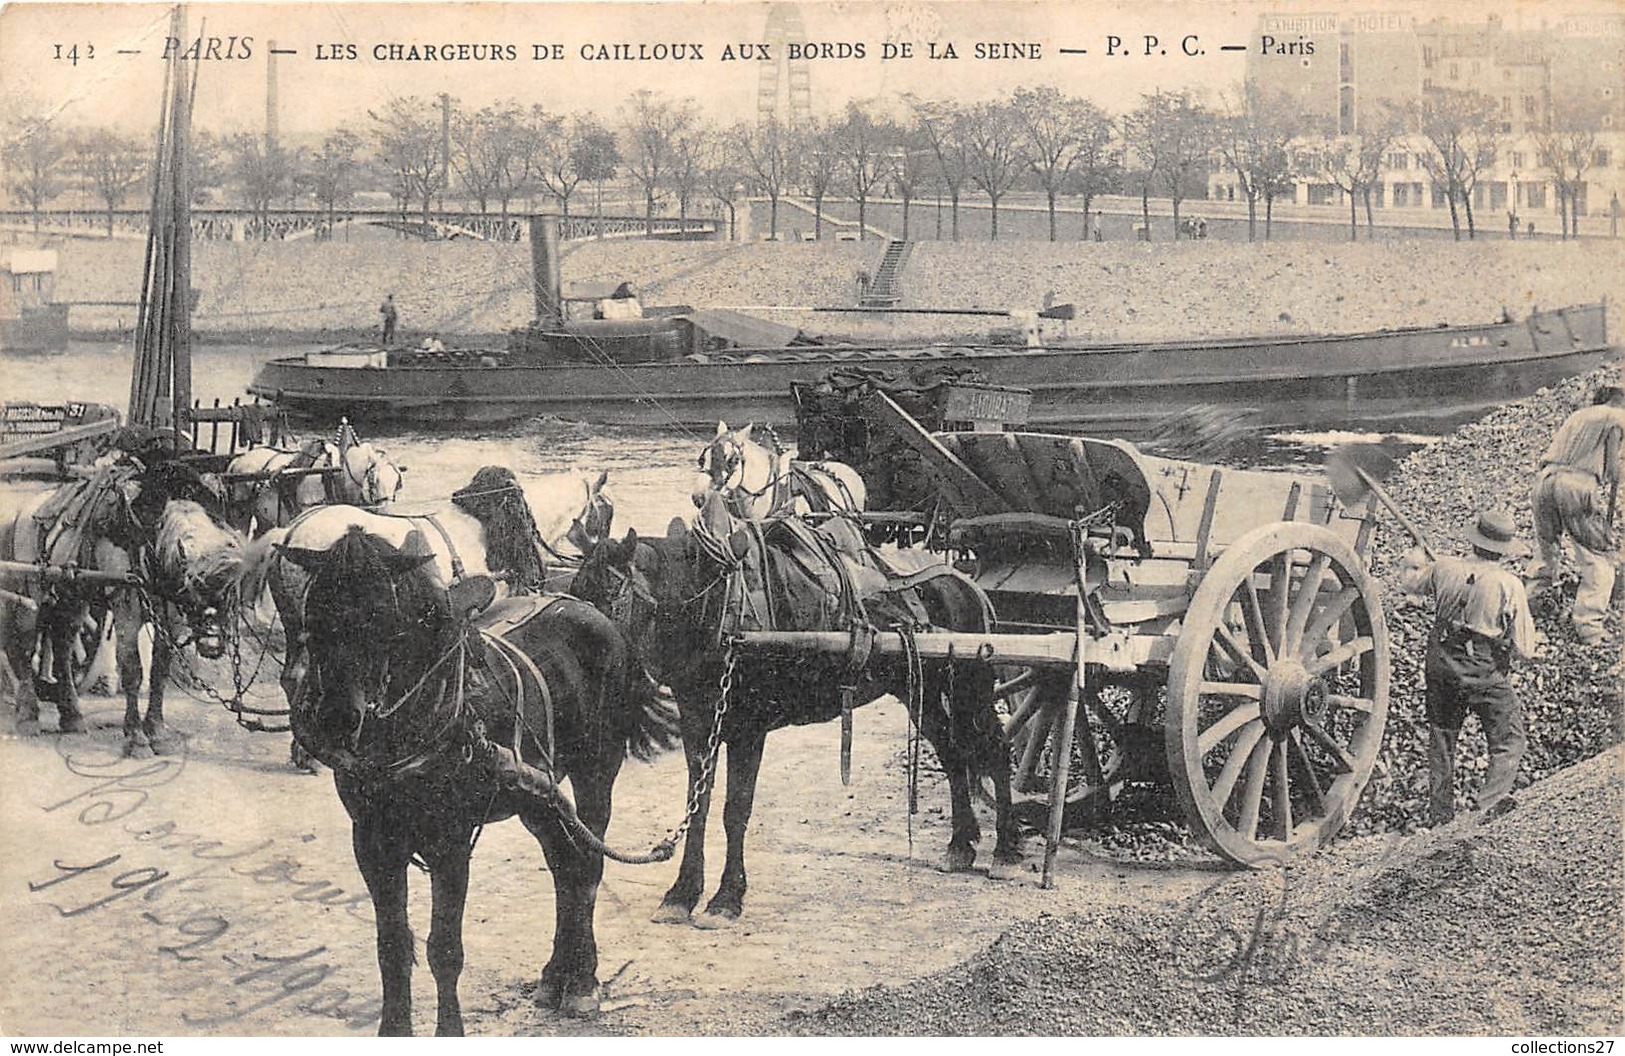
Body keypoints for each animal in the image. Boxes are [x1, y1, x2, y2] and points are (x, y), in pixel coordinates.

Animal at [1, 454, 251, 753]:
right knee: (24, 648)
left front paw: (157, 731)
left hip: (72, 597)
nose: (211, 641)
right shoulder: (126, 607)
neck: (149, 536)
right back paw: (28, 717)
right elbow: (132, 670)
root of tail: (18, 511)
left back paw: (72, 715)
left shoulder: (169, 618)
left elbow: (160, 670)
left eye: (230, 590)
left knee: (62, 645)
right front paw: (136, 737)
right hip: (29, 597)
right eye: (196, 584)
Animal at [225, 428, 406, 529]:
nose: (385, 513)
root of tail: (238, 461)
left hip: (265, 519)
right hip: (240, 514)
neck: (336, 474)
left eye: (397, 483)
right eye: (374, 480)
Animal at [256, 516, 676, 1026]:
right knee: (565, 862)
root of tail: (595, 614)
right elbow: (392, 946)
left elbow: (444, 950)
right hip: (536, 795)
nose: (335, 720)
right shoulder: (373, 840)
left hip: (596, 770)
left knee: (588, 864)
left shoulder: (450, 843)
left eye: (384, 619)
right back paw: (555, 976)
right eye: (312, 617)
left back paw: (582, 982)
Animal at [572, 490, 1014, 922]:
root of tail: (965, 582)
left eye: (608, 595)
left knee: (994, 748)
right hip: (919, 691)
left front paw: (727, 898)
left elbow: (735, 810)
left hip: (971, 687)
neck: (717, 609)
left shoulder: (749, 729)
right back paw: (960, 844)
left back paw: (1006, 852)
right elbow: (697, 807)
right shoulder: (699, 725)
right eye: (575, 593)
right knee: (953, 753)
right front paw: (682, 894)